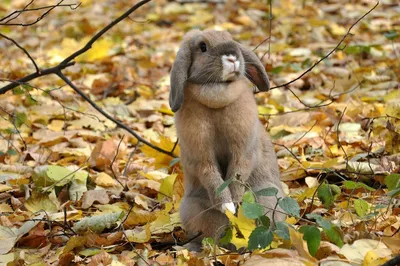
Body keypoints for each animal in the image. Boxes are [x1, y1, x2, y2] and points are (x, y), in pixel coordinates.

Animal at [169, 29, 284, 249]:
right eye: (202, 47)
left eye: (230, 38)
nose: (232, 56)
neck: (218, 91)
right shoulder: (201, 156)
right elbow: (212, 175)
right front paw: (228, 206)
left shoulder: (243, 150)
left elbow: (237, 172)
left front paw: (237, 204)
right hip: (192, 208)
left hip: (268, 200)